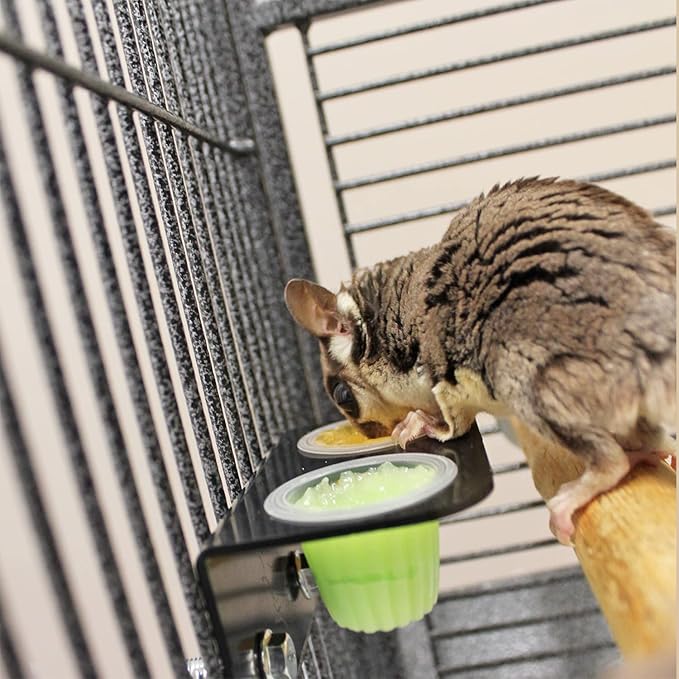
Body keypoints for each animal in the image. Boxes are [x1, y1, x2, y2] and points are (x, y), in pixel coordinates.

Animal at [285, 178, 676, 544]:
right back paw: (647, 453)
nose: (368, 434)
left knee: (611, 460)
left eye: (342, 396)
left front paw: (418, 424)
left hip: (527, 373)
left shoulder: (442, 376)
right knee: (652, 438)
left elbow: (452, 424)